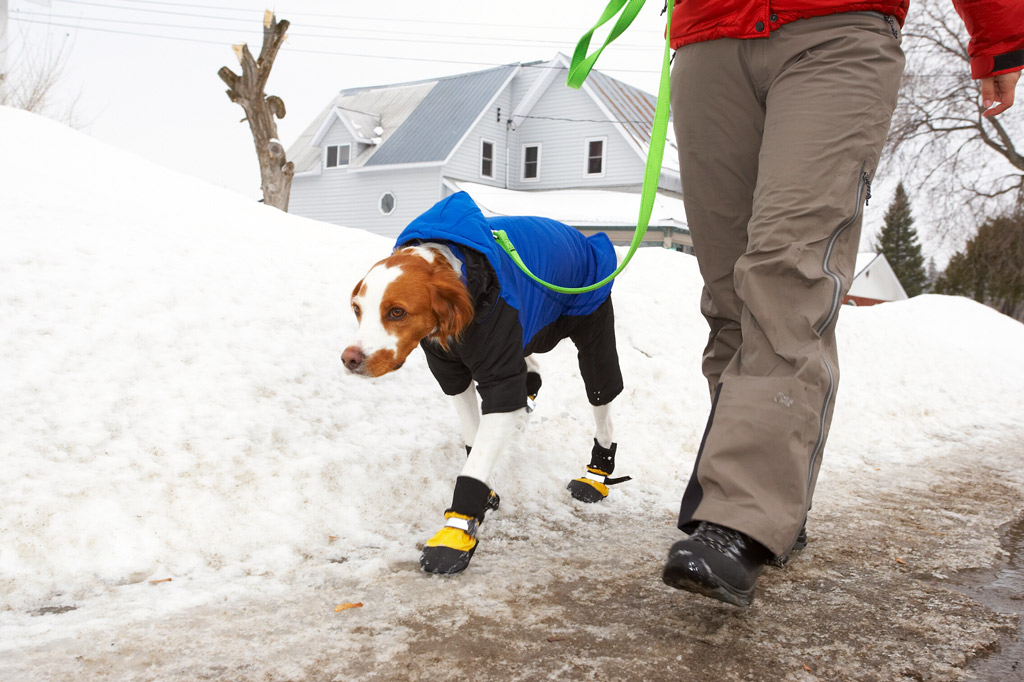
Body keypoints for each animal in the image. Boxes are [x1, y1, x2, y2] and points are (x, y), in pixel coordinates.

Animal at [339, 192, 622, 573]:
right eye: (357, 309)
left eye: (397, 312)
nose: (350, 359)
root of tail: (583, 237)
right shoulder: (452, 374)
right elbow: (476, 437)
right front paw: (484, 493)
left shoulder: (499, 373)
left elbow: (479, 456)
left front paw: (454, 534)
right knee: (533, 372)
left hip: (591, 330)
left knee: (602, 396)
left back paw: (596, 474)